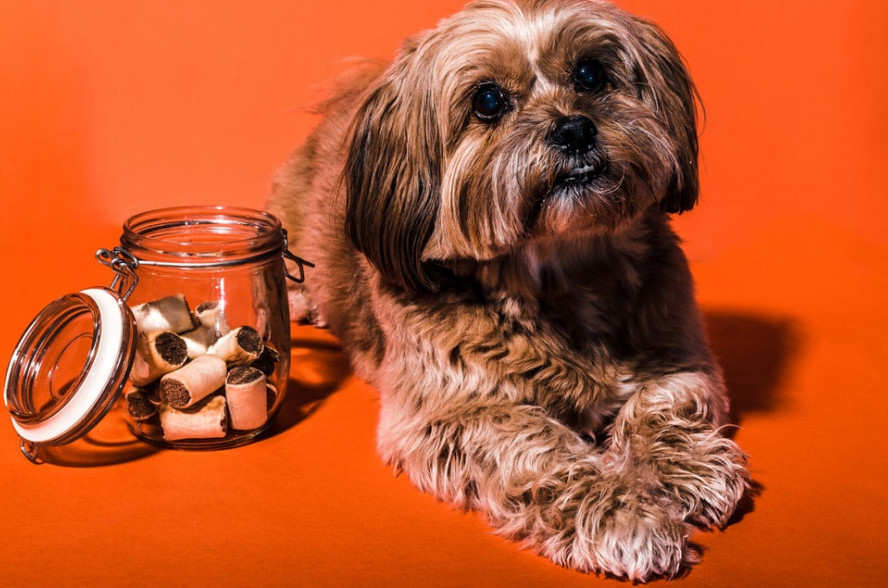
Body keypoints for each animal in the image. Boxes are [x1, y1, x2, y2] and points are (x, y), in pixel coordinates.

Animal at [268, 0, 748, 580]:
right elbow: (541, 450)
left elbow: (663, 405)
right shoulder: (455, 414)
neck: (562, 274)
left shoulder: (678, 355)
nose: (574, 129)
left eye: (590, 73)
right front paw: (621, 514)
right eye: (488, 100)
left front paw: (685, 468)